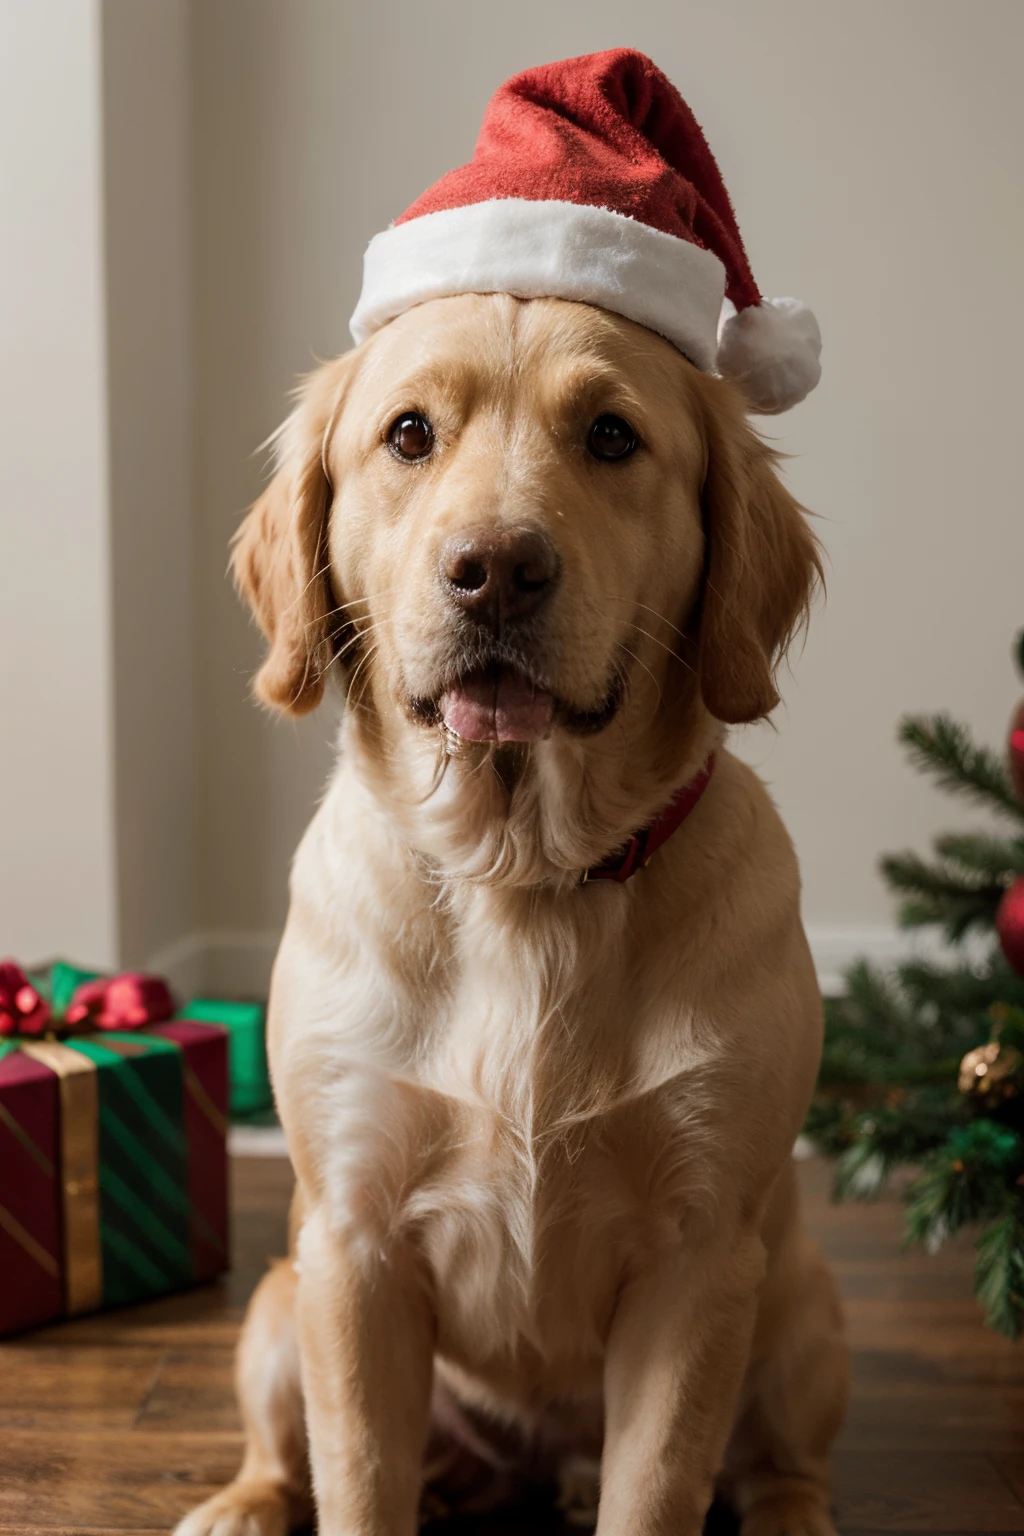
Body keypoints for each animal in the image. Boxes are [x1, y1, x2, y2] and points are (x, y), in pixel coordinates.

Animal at [178, 290, 847, 1536]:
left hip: (802, 1314)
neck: (523, 874)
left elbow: (654, 1489)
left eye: (612, 436)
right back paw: (248, 1501)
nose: (495, 568)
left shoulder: (699, 1259)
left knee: (785, 1463)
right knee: (288, 1451)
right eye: (406, 434)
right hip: (280, 1308)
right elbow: (359, 1481)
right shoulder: (351, 1243)